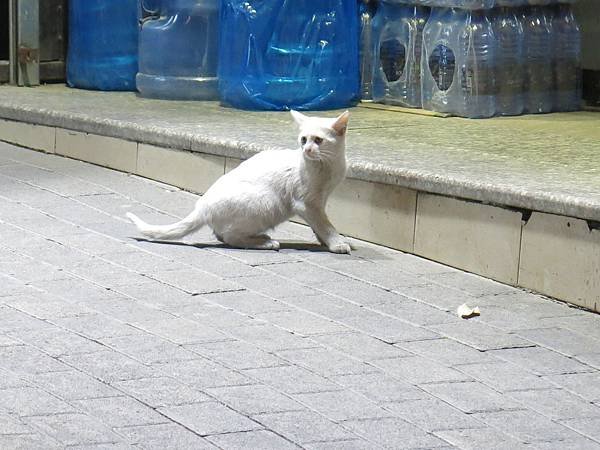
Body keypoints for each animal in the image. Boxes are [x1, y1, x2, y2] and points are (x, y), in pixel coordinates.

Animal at [126, 110, 352, 253]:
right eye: (303, 140)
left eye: (318, 140)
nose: (307, 150)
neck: (328, 166)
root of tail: (203, 207)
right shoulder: (306, 203)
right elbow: (325, 225)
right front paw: (336, 243)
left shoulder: (320, 202)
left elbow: (320, 225)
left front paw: (323, 240)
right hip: (267, 204)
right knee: (229, 237)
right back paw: (265, 243)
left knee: (221, 234)